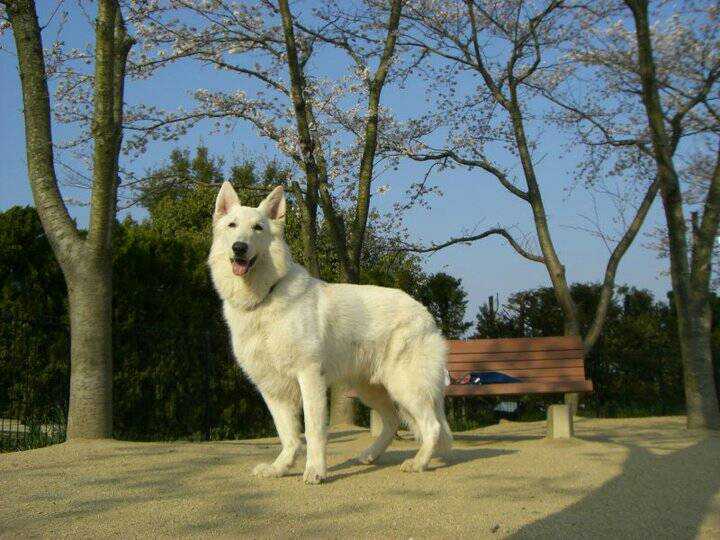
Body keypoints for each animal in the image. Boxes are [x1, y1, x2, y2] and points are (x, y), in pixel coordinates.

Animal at [207, 184, 450, 484]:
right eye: (232, 225)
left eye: (258, 228)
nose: (239, 247)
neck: (266, 296)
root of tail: (425, 313)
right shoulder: (272, 389)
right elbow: (287, 435)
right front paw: (281, 467)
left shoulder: (309, 377)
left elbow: (313, 431)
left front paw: (315, 470)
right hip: (371, 389)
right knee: (393, 422)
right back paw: (370, 455)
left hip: (406, 387)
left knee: (432, 426)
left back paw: (418, 463)